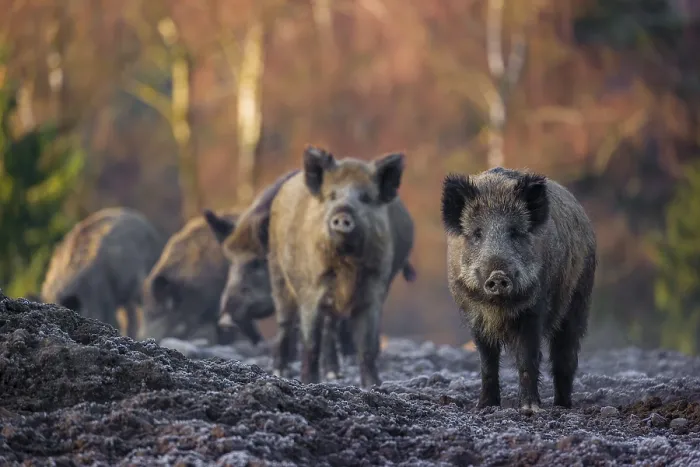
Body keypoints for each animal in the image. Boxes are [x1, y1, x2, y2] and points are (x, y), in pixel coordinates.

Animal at [265, 145, 408, 387]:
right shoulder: (310, 291)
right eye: (332, 196)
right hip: (277, 273)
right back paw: (280, 372)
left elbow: (367, 345)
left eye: (365, 198)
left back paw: (334, 375)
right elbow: (310, 342)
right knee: (285, 322)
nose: (343, 213)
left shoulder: (374, 290)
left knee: (330, 328)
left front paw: (374, 385)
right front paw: (309, 382)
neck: (346, 265)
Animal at [441, 167, 597, 411]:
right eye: (477, 233)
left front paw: (530, 409)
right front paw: (484, 406)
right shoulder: (473, 316)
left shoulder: (533, 310)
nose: (498, 275)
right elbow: (487, 361)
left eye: (514, 232)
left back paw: (563, 405)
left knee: (565, 355)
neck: (498, 309)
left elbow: (528, 357)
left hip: (580, 300)